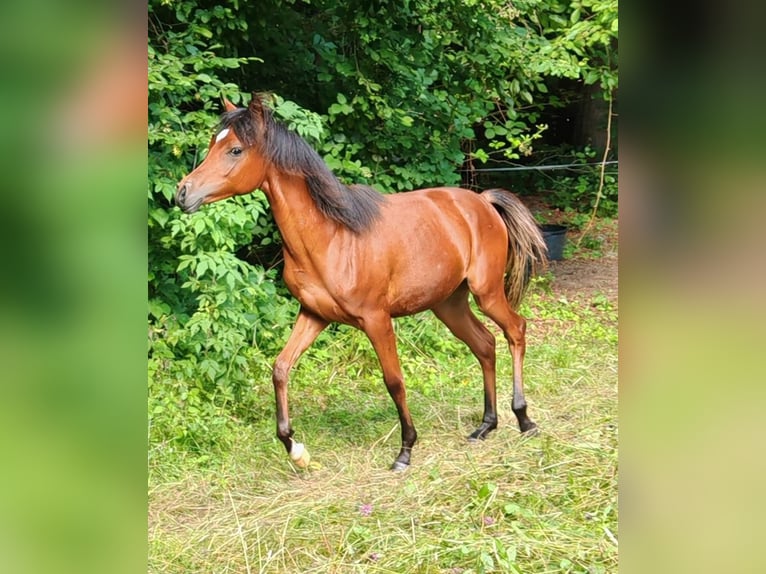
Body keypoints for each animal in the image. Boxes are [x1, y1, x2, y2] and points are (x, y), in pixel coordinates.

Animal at [175, 93, 547, 471]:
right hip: (448, 303)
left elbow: (394, 380)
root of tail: (482, 201)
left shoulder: (376, 319)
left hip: (486, 292)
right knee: (484, 344)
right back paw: (486, 426)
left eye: (235, 149)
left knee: (515, 330)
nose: (183, 192)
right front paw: (296, 449)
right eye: (213, 143)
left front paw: (405, 451)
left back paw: (523, 419)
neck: (332, 237)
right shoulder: (313, 315)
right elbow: (280, 368)